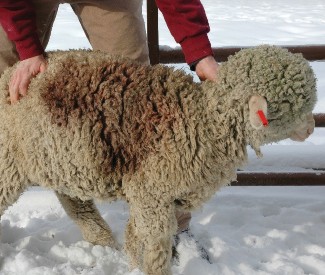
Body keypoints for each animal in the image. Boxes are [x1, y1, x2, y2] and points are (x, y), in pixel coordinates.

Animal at [0, 45, 316, 275]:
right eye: (291, 103)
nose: (312, 127)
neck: (202, 120)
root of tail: (9, 74)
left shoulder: (160, 194)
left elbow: (141, 235)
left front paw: (133, 259)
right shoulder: (152, 192)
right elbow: (156, 243)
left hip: (61, 157)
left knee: (75, 202)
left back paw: (104, 242)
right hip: (8, 160)